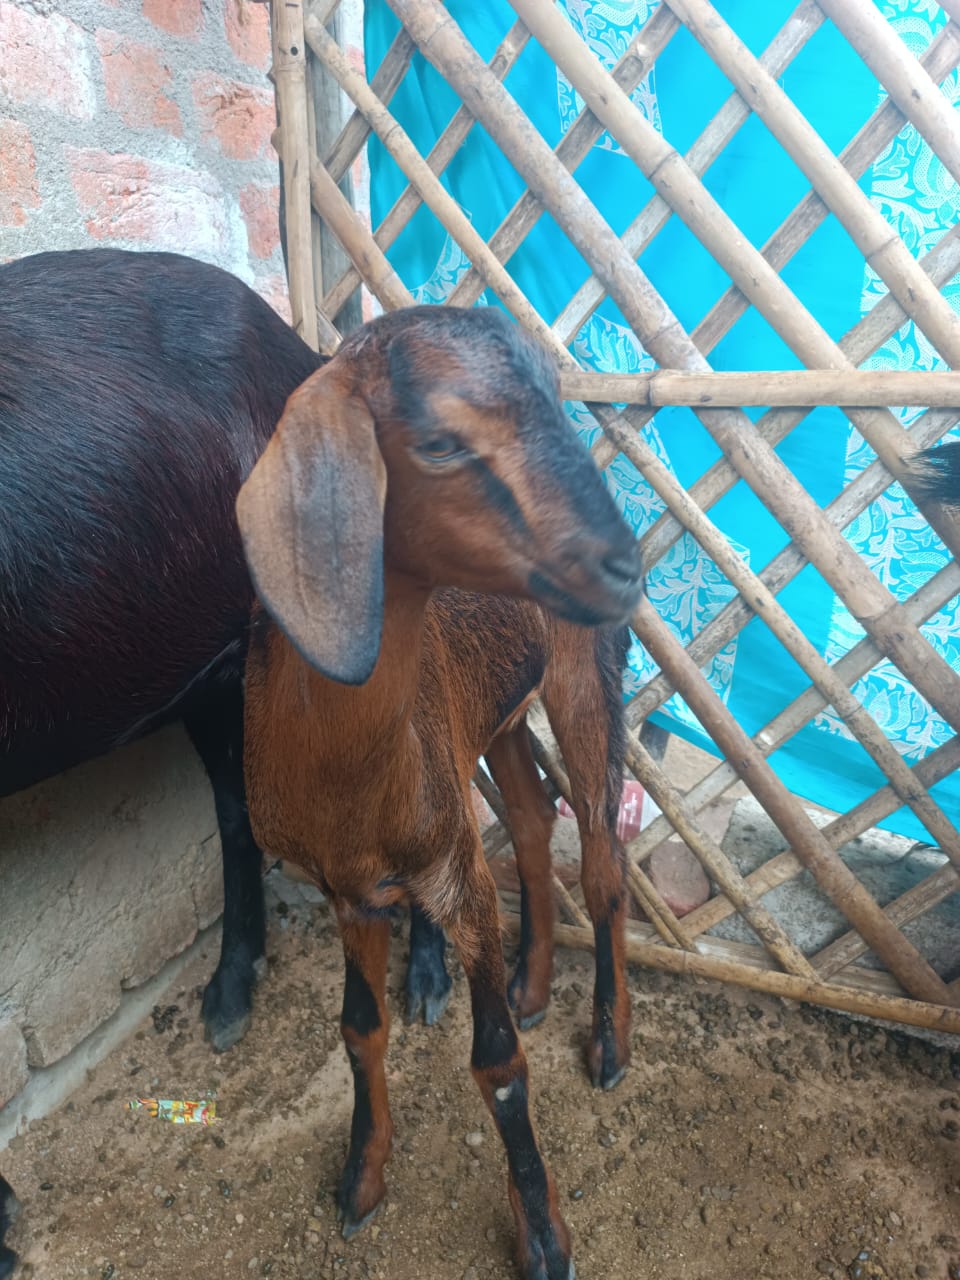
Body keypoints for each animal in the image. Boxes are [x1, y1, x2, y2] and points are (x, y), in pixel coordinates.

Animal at [237, 305, 644, 1280]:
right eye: (440, 441)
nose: (626, 562)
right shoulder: (348, 888)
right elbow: (358, 1029)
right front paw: (360, 1179)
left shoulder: (456, 879)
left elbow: (497, 1065)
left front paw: (543, 1239)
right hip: (493, 720)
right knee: (531, 818)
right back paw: (535, 984)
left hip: (585, 678)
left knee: (603, 864)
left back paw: (608, 1044)